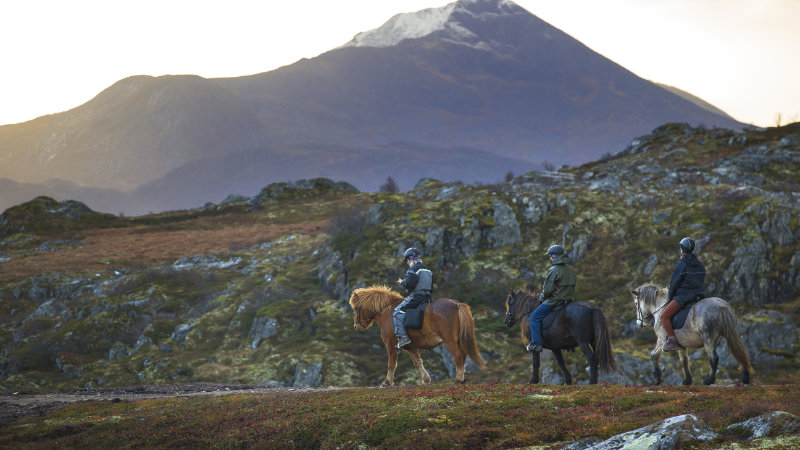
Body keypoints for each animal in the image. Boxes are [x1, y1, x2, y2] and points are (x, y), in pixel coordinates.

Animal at [352, 286, 488, 384]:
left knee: (458, 356)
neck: (387, 312)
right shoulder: (411, 347)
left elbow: (391, 364)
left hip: (449, 340)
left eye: (356, 308)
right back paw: (462, 378)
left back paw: (458, 379)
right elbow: (418, 362)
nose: (356, 326)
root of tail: (456, 304)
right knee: (463, 356)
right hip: (459, 340)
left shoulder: (390, 344)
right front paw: (426, 379)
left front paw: (386, 382)